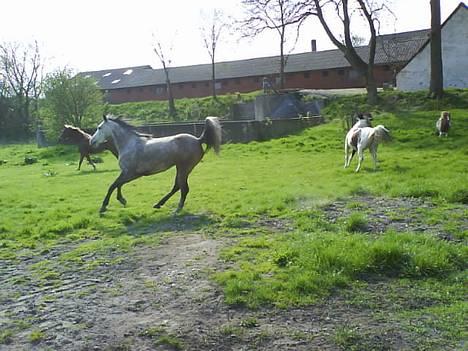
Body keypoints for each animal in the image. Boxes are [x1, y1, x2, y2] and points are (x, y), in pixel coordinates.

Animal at [91, 117, 223, 213]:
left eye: (99, 127)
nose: (91, 141)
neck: (130, 144)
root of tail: (198, 140)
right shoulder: (129, 173)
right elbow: (118, 184)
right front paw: (122, 200)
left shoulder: (130, 173)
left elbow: (113, 185)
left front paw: (104, 206)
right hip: (181, 168)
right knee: (177, 186)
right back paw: (159, 204)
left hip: (184, 168)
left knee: (183, 188)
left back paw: (177, 209)